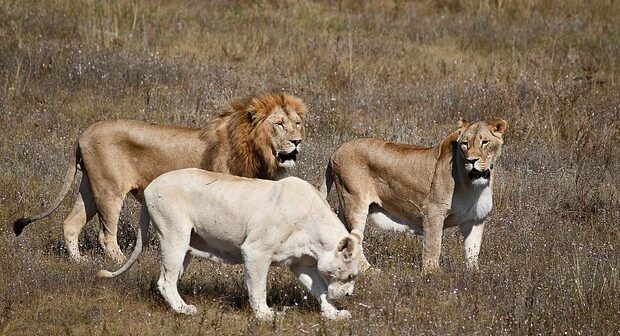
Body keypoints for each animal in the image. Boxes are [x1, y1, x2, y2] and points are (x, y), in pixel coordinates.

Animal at [12, 92, 308, 262]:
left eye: (297, 123)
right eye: (279, 124)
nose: (297, 142)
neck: (257, 151)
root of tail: (82, 134)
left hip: (90, 188)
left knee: (71, 223)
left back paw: (79, 262)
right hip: (109, 190)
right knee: (106, 236)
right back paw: (121, 262)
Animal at [98, 168, 360, 320]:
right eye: (349, 276)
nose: (349, 294)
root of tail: (151, 185)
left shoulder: (300, 263)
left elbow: (320, 289)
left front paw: (335, 314)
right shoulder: (255, 251)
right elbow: (258, 288)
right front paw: (266, 315)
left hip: (186, 247)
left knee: (168, 279)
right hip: (174, 236)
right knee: (165, 281)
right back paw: (184, 310)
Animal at [322, 119, 506, 274]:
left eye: (484, 142)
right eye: (465, 144)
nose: (472, 160)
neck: (474, 184)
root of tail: (334, 152)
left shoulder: (475, 218)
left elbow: (473, 250)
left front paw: (474, 275)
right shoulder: (432, 210)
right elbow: (433, 245)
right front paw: (432, 275)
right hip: (354, 202)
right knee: (355, 241)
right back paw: (370, 271)